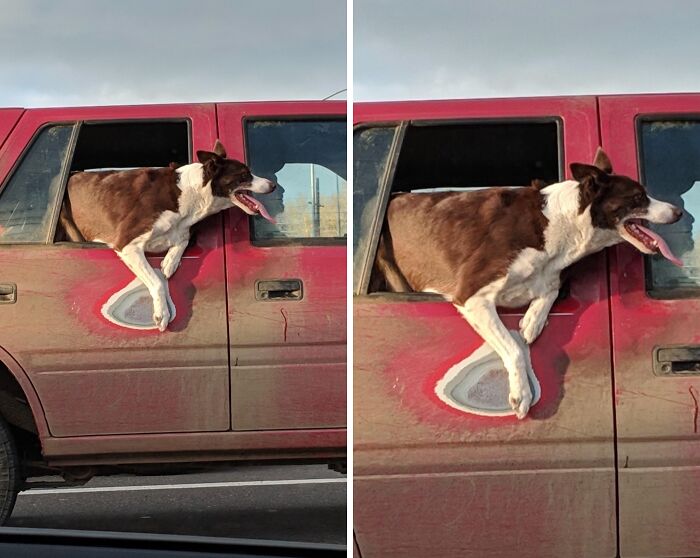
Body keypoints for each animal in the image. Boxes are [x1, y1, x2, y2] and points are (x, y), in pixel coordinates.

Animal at [59, 141, 276, 332]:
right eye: (244, 175)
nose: (273, 185)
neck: (192, 193)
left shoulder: (182, 230)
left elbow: (182, 240)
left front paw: (170, 262)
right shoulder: (127, 244)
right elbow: (157, 281)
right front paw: (161, 314)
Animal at [374, 149, 680, 420]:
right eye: (638, 197)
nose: (679, 211)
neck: (562, 224)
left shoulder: (550, 275)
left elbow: (549, 291)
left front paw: (533, 321)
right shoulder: (472, 296)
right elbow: (514, 348)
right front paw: (521, 394)